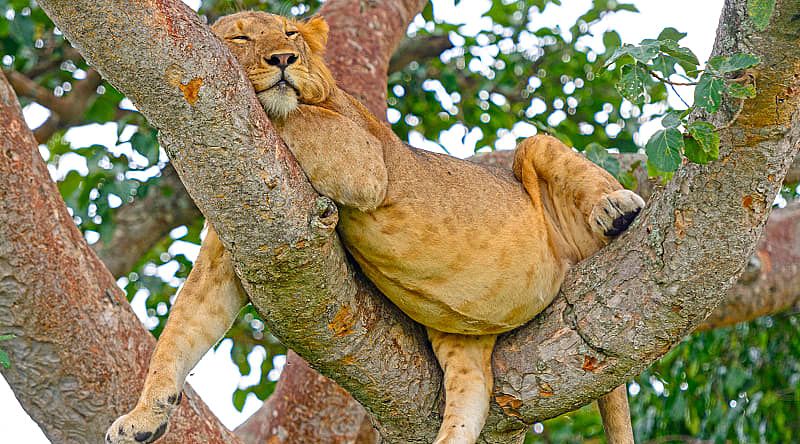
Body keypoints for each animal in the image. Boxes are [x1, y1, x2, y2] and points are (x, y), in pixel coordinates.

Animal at [104, 9, 644, 444]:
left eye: (290, 33)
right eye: (239, 38)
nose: (283, 59)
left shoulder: (364, 159)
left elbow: (292, 116)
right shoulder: (236, 238)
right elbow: (182, 329)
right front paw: (141, 417)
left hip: (537, 157)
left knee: (552, 155)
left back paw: (618, 208)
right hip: (459, 333)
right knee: (471, 394)